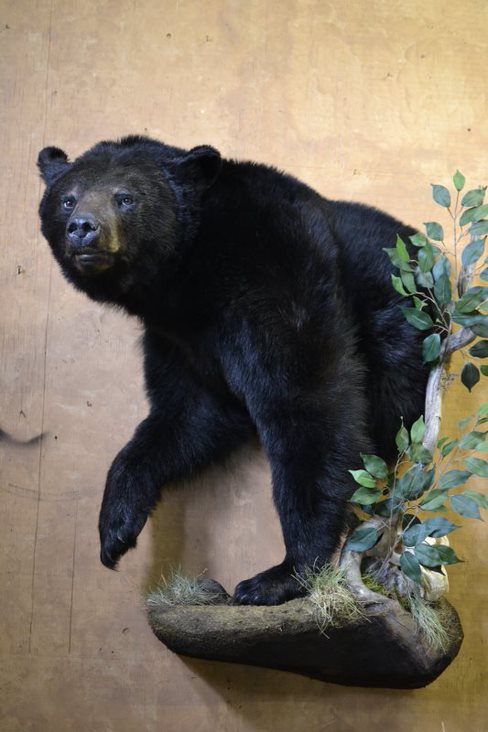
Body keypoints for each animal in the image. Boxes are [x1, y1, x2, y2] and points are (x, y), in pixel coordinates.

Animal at [37, 136, 428, 605]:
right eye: (67, 198)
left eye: (126, 197)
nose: (83, 227)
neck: (188, 276)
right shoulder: (179, 340)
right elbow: (190, 413)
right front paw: (115, 526)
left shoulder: (275, 263)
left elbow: (305, 395)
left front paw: (282, 572)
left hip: (400, 326)